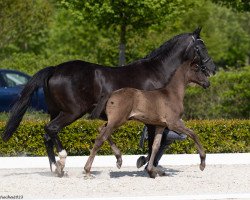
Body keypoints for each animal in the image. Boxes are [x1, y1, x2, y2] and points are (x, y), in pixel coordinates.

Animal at [1, 27, 215, 177]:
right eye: (200, 48)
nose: (212, 69)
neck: (158, 73)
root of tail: (54, 69)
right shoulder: (153, 119)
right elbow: (156, 143)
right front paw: (147, 165)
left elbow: (156, 142)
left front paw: (145, 164)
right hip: (72, 112)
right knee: (51, 129)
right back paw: (62, 160)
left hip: (56, 111)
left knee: (48, 135)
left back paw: (57, 168)